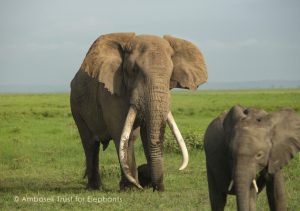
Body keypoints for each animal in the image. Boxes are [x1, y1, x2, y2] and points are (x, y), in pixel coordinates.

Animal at [70, 31, 207, 191]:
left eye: (171, 73)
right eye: (134, 70)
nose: (158, 188)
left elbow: (147, 135)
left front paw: (151, 186)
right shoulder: (111, 91)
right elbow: (123, 135)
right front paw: (131, 188)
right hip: (76, 107)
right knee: (90, 144)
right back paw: (95, 187)